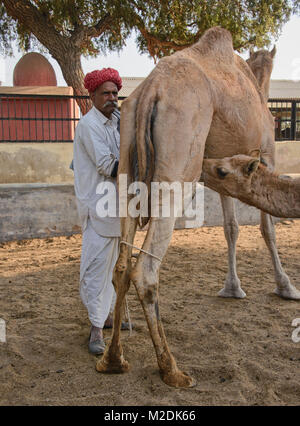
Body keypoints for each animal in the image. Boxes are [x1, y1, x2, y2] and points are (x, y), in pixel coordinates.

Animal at [95, 25, 298, 388]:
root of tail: (151, 90)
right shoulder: (266, 157)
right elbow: (267, 228)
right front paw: (285, 286)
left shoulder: (228, 172)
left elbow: (231, 228)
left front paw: (232, 288)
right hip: (181, 163)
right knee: (145, 270)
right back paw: (172, 370)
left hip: (127, 164)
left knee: (120, 266)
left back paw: (114, 360)